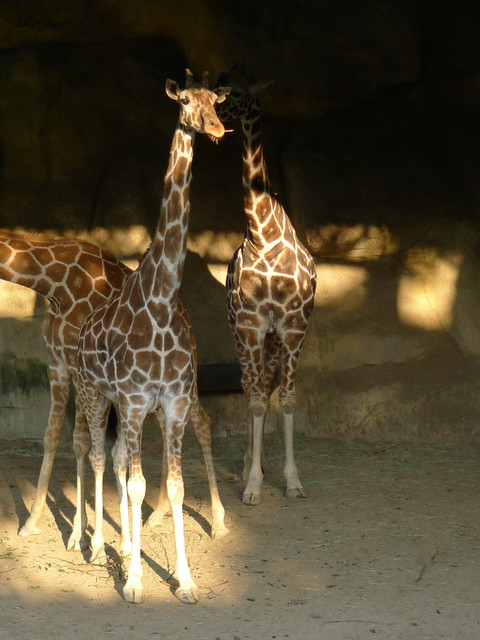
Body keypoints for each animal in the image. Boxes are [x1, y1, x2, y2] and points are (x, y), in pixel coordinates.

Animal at [0, 230, 229, 552]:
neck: (52, 281)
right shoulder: (57, 362)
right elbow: (53, 437)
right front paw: (33, 521)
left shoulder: (78, 366)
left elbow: (83, 442)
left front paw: (80, 533)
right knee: (161, 431)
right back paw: (157, 513)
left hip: (184, 378)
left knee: (202, 421)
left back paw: (218, 522)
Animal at [76, 71, 230, 604]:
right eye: (184, 101)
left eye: (216, 102)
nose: (217, 129)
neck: (162, 300)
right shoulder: (137, 399)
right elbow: (140, 484)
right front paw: (135, 582)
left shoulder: (173, 402)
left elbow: (175, 487)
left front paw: (184, 580)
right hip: (94, 394)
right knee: (100, 458)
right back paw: (98, 548)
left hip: (121, 406)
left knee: (119, 459)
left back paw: (123, 546)